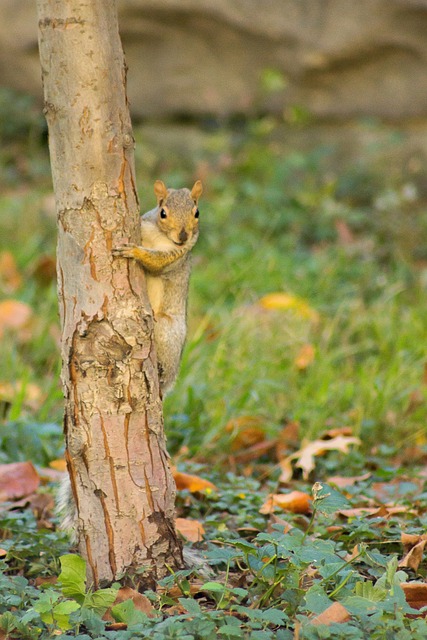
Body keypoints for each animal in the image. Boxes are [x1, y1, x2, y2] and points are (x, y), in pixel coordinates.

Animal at [112, 178, 202, 392]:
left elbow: (156, 262)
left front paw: (134, 252)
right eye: (163, 213)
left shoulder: (176, 256)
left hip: (166, 329)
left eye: (197, 213)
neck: (161, 237)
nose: (183, 236)